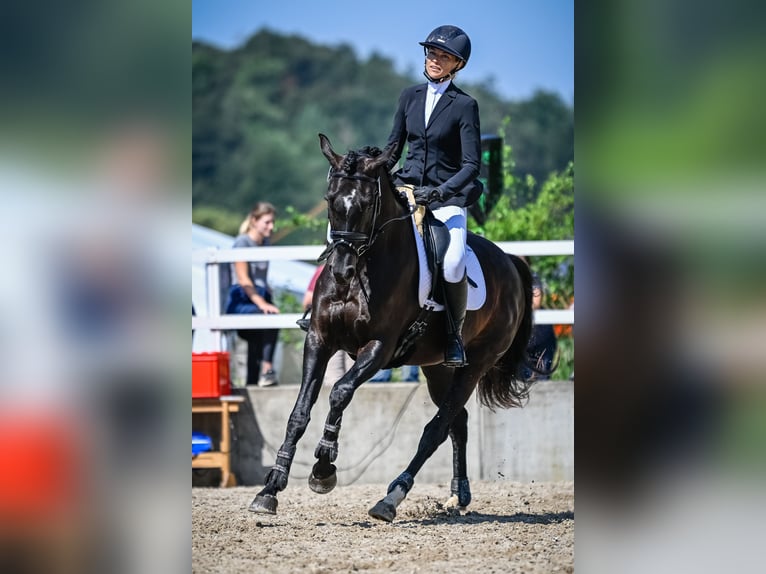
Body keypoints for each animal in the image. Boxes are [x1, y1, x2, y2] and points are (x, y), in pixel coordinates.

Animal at [249, 137, 536, 524]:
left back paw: (391, 498)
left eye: (367, 204)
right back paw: (458, 494)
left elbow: (339, 392)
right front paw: (270, 489)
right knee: (456, 422)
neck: (365, 269)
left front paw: (323, 469)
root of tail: (510, 262)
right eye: (330, 199)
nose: (340, 271)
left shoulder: (378, 347)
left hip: (475, 364)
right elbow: (299, 412)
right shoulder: (319, 340)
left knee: (436, 429)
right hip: (437, 368)